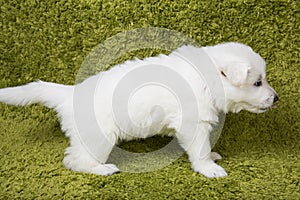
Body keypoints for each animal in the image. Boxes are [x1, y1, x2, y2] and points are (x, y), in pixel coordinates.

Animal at [0, 42, 278, 178]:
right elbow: (200, 148)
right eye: (257, 82)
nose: (276, 99)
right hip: (99, 137)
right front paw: (209, 168)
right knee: (74, 160)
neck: (205, 79)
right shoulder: (193, 124)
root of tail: (69, 94)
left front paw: (212, 157)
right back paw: (102, 169)